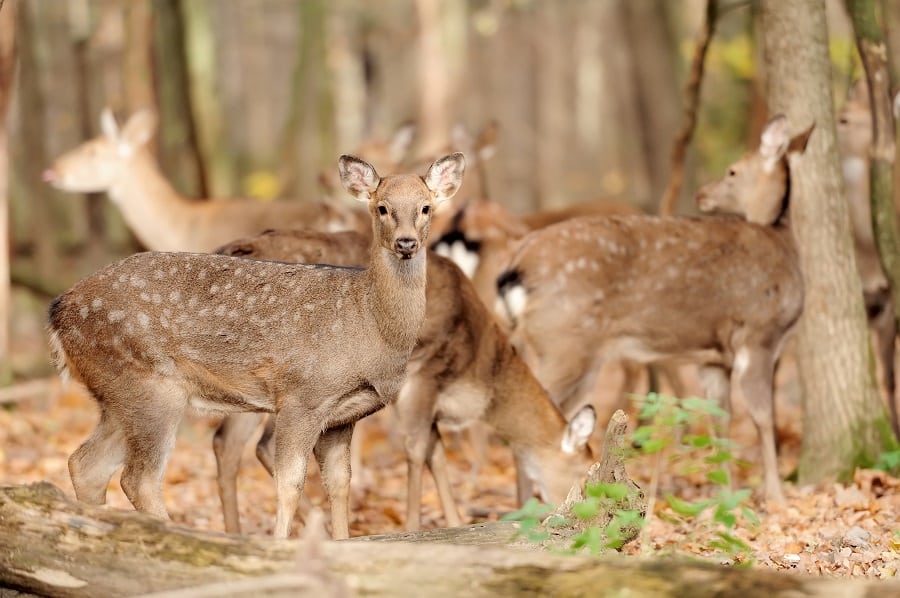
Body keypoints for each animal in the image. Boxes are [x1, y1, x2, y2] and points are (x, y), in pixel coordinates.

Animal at [46, 152, 466, 539]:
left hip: (119, 397)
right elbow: (289, 483)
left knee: (85, 464)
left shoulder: (342, 417)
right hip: (149, 387)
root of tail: (58, 312)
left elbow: (339, 484)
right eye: (382, 207)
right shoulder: (302, 397)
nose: (406, 243)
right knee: (138, 478)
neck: (370, 323)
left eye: (425, 207)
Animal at [211, 228, 597, 534]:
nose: (582, 514)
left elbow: (435, 453)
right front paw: (413, 526)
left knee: (226, 442)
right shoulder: (424, 375)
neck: (478, 370)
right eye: (582, 474)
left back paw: (235, 533)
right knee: (261, 446)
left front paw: (454, 522)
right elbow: (415, 450)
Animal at [496, 115, 815, 503]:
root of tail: (516, 264)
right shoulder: (758, 334)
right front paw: (776, 496)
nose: (702, 194)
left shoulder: (715, 358)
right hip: (564, 342)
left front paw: (726, 494)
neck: (783, 243)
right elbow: (762, 417)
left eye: (732, 171)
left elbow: (720, 419)